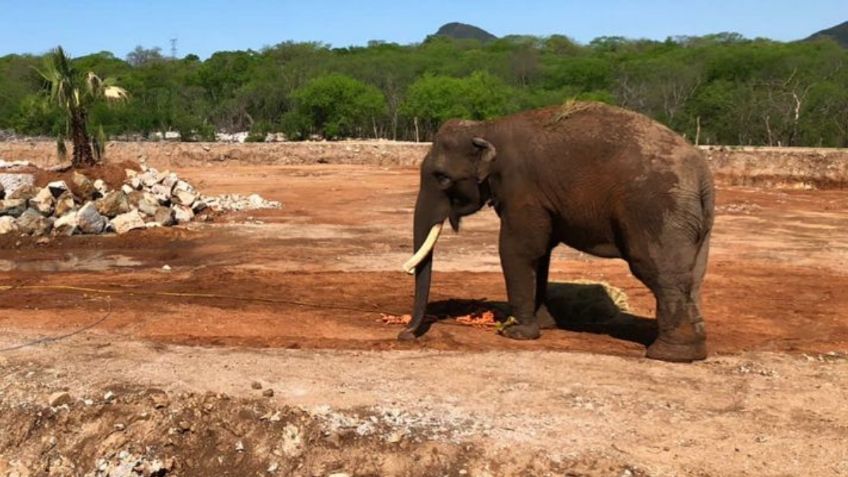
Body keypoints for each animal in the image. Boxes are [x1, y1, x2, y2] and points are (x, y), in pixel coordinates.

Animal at [400, 100, 712, 360]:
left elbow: (519, 249)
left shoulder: (523, 189)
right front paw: (545, 325)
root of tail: (701, 175)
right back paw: (692, 349)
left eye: (442, 177)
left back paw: (668, 354)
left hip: (656, 211)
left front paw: (516, 333)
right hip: (694, 222)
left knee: (660, 272)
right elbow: (541, 253)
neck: (487, 127)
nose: (405, 334)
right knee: (693, 276)